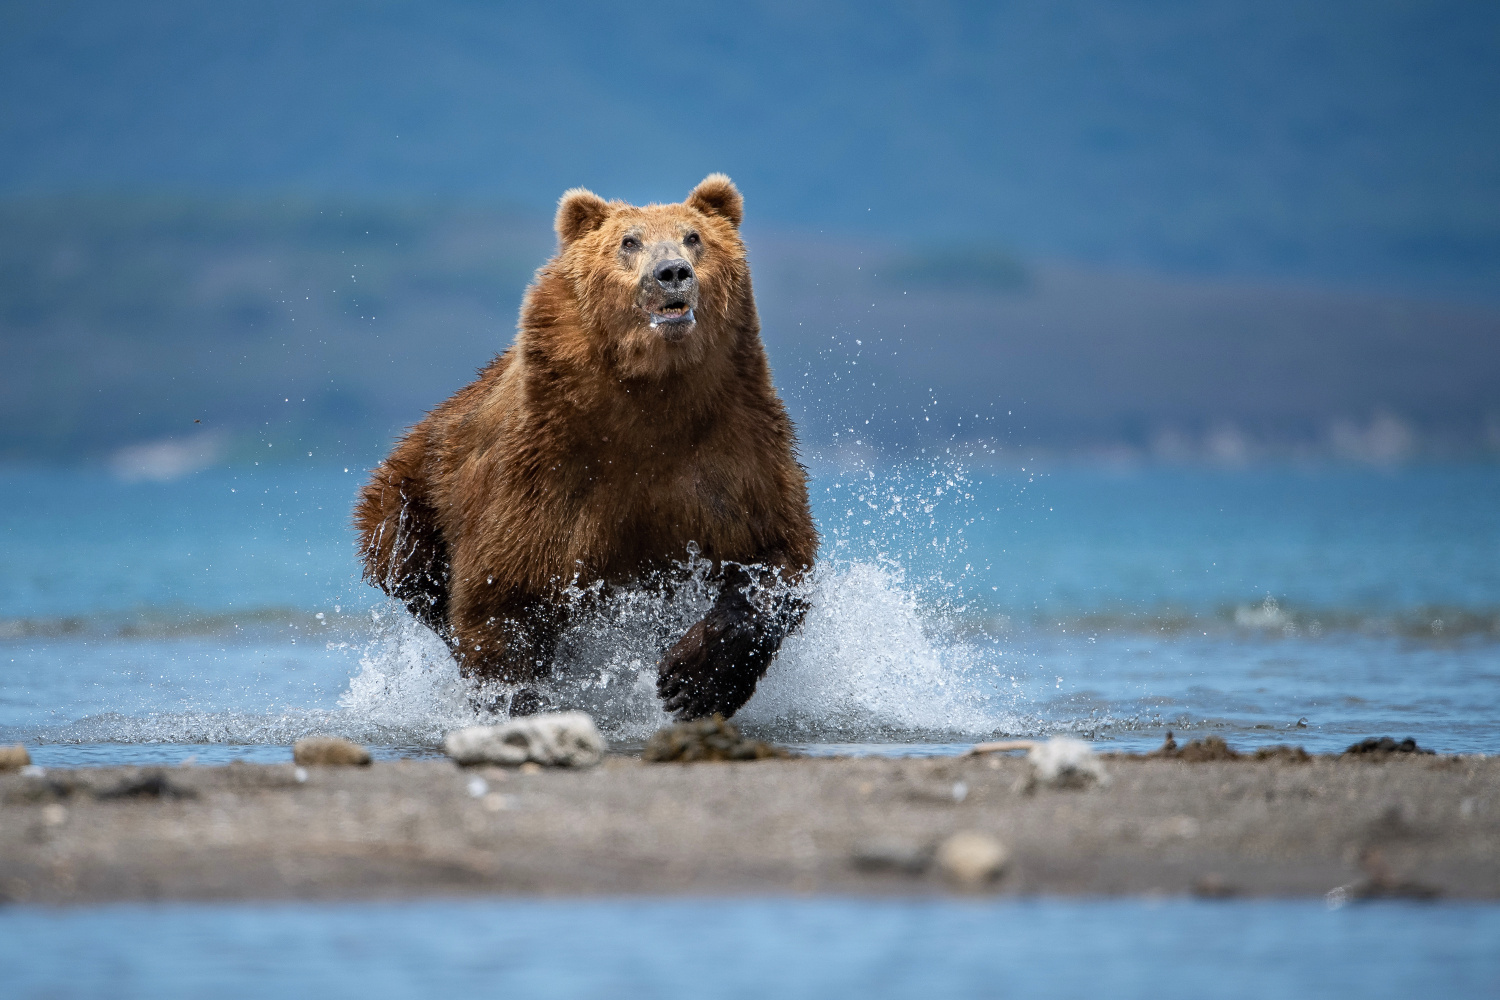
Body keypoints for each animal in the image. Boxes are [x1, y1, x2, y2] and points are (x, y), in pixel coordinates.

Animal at [354, 173, 822, 719]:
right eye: (629, 241)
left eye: (694, 237)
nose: (672, 273)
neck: (650, 398)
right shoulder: (547, 465)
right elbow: (503, 594)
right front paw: (519, 700)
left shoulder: (734, 445)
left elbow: (776, 555)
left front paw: (693, 681)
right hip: (410, 493)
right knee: (407, 564)